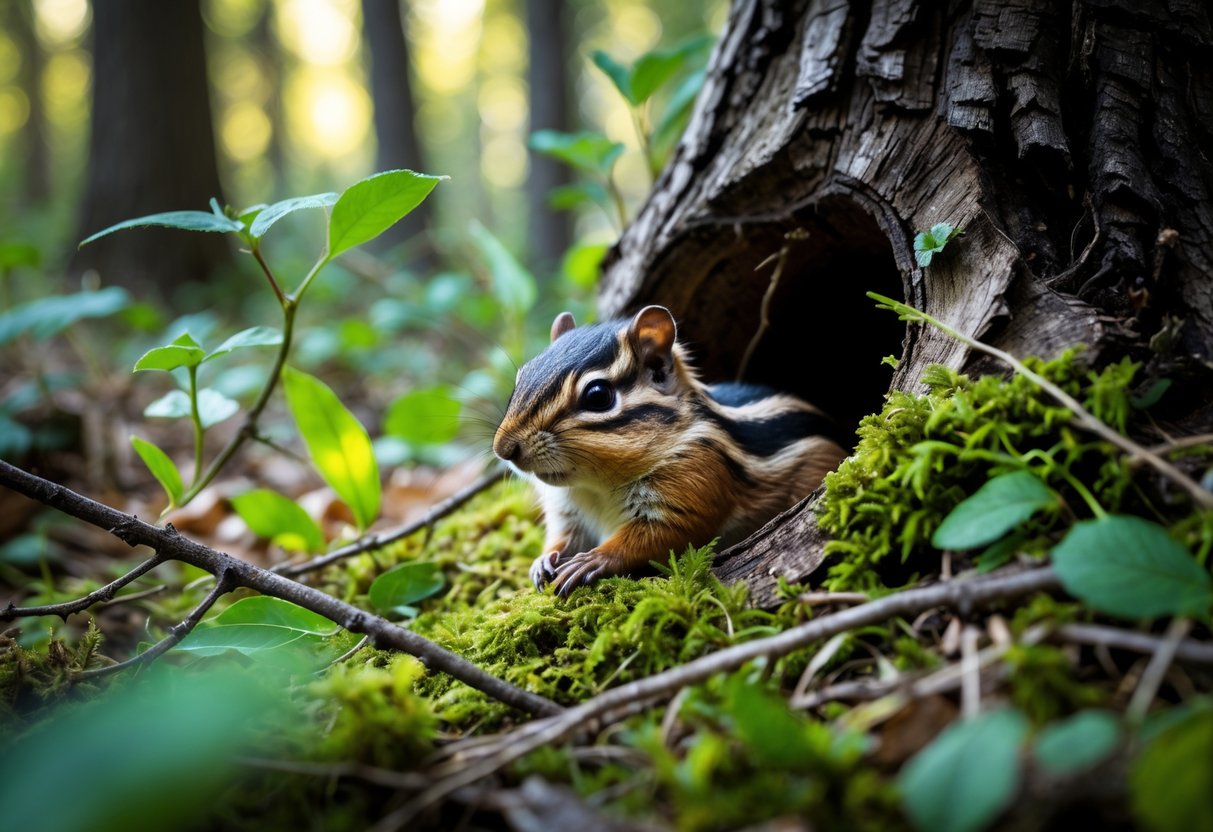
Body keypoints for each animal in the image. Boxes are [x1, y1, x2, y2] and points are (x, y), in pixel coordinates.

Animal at [492, 305, 850, 597]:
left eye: (597, 396)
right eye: (522, 375)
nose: (504, 449)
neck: (595, 488)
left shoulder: (695, 475)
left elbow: (664, 535)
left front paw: (594, 560)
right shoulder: (568, 512)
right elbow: (563, 537)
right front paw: (542, 561)